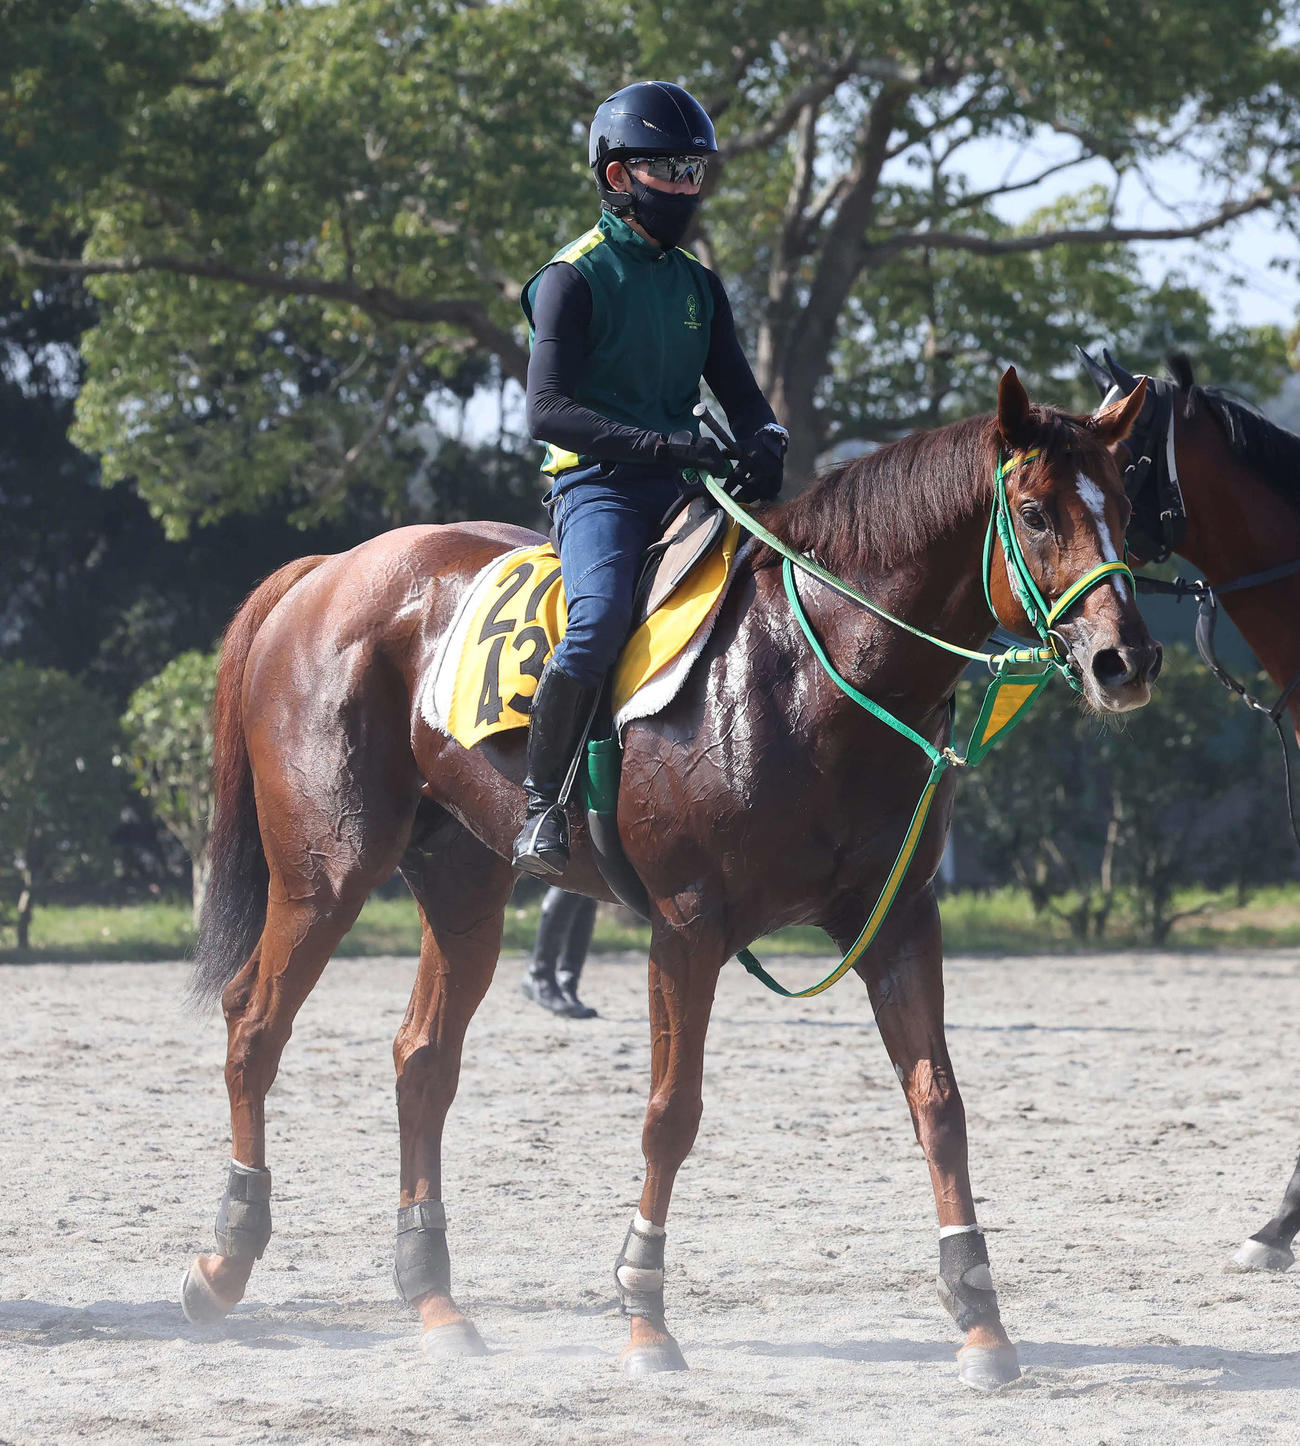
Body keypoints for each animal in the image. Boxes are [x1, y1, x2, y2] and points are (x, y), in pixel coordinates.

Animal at [178, 368, 1160, 1392]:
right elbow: (670, 1115)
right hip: (327, 874)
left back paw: (433, 1300)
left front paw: (979, 1316)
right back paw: (224, 1261)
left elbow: (940, 1104)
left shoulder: (897, 920)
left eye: (1128, 506)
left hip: (463, 887)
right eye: (1038, 513)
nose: (1125, 659)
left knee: (422, 1060)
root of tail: (327, 571)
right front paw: (643, 1313)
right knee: (255, 1024)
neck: (809, 668)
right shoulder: (687, 927)